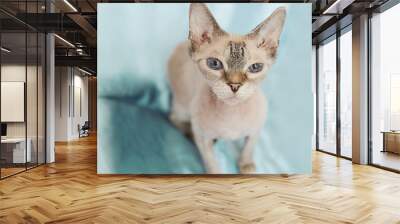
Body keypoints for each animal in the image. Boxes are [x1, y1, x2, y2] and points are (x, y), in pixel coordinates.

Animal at [167, 3, 286, 174]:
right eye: (214, 64)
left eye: (255, 67)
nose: (234, 85)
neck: (232, 114)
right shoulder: (203, 138)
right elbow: (211, 162)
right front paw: (216, 174)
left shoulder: (256, 129)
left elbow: (249, 146)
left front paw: (246, 165)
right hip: (183, 108)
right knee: (173, 118)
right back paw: (188, 133)